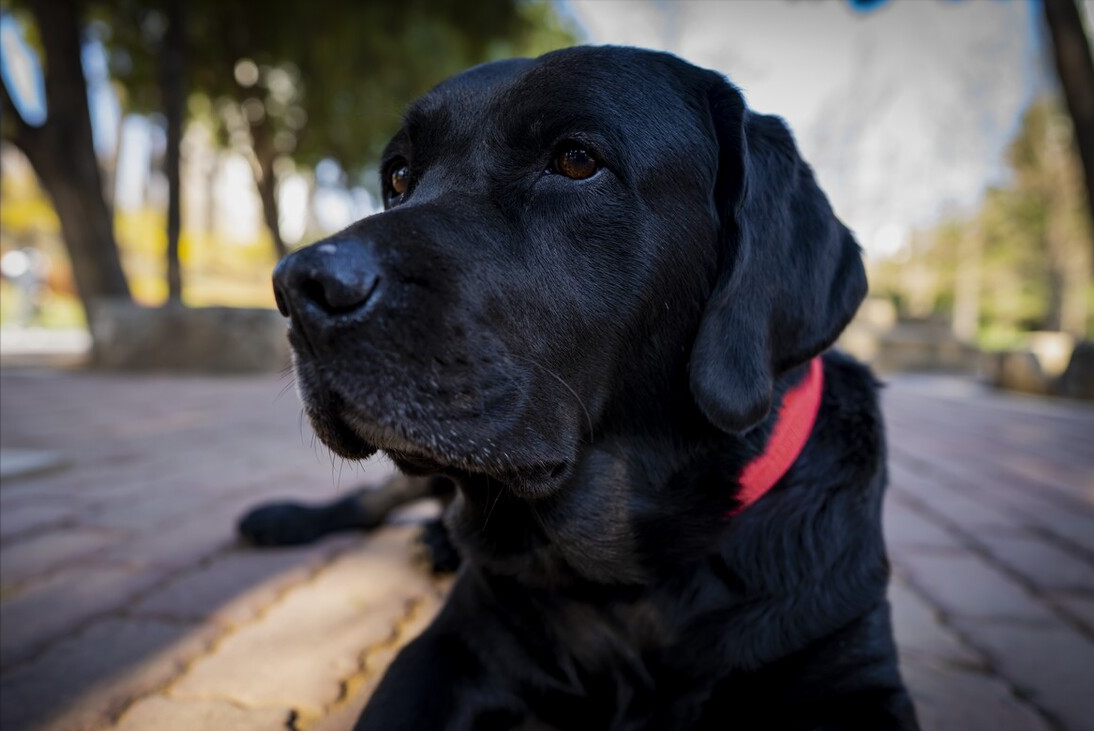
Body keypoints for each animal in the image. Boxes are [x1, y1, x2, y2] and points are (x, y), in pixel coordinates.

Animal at [269, 47, 918, 731]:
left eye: (577, 161)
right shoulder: (452, 647)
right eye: (397, 175)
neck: (627, 580)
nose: (299, 287)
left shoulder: (853, 664)